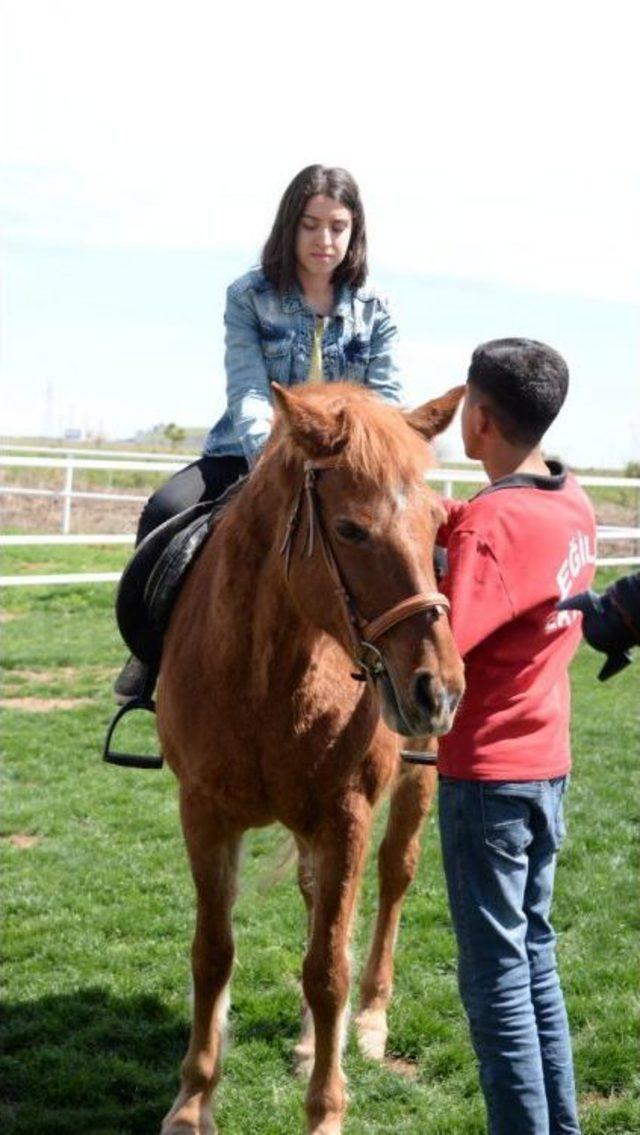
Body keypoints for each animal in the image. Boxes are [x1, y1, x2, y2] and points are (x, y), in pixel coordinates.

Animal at [156, 383, 462, 1135]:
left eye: (436, 525)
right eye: (350, 530)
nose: (439, 690)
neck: (265, 674)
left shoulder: (345, 816)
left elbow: (329, 970)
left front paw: (326, 1110)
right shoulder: (203, 812)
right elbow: (212, 954)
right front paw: (193, 1100)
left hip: (411, 788)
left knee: (392, 882)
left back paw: (371, 1021)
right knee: (315, 898)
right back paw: (303, 1039)